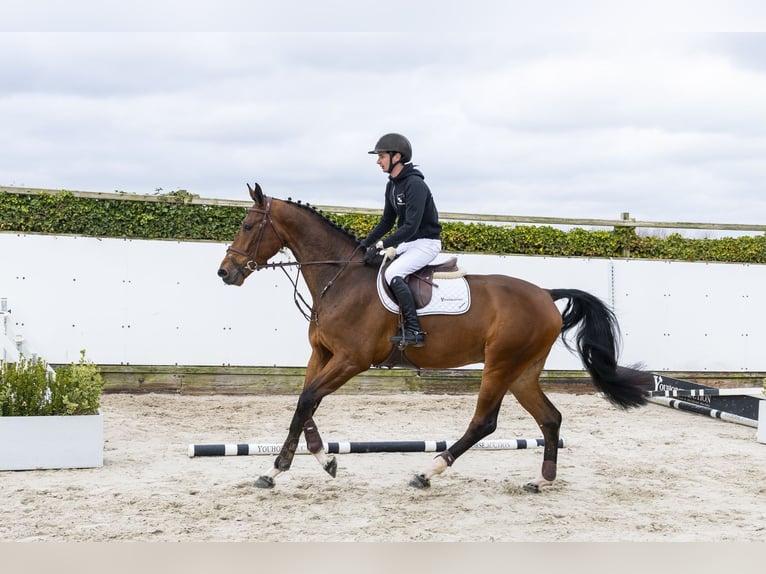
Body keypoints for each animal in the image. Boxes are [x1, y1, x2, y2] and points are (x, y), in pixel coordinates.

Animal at [217, 183, 651, 492]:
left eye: (248, 226)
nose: (225, 272)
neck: (339, 279)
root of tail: (545, 293)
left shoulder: (351, 360)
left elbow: (307, 401)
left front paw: (288, 467)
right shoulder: (321, 356)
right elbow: (304, 406)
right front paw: (307, 464)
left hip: (500, 364)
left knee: (484, 423)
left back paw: (429, 471)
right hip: (522, 371)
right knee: (550, 417)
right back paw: (540, 480)